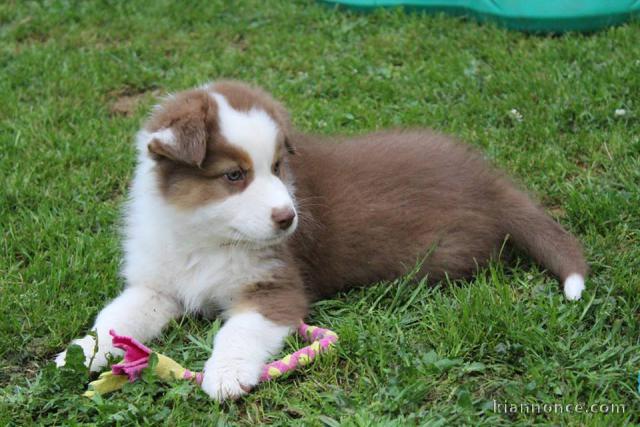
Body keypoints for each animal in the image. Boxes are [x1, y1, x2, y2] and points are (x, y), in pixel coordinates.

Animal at [57, 80, 588, 402]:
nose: (288, 218)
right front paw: (79, 353)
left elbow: (238, 331)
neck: (205, 235)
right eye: (234, 175)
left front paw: (225, 374)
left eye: (277, 167)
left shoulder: (277, 288)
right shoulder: (157, 284)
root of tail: (487, 180)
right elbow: (115, 319)